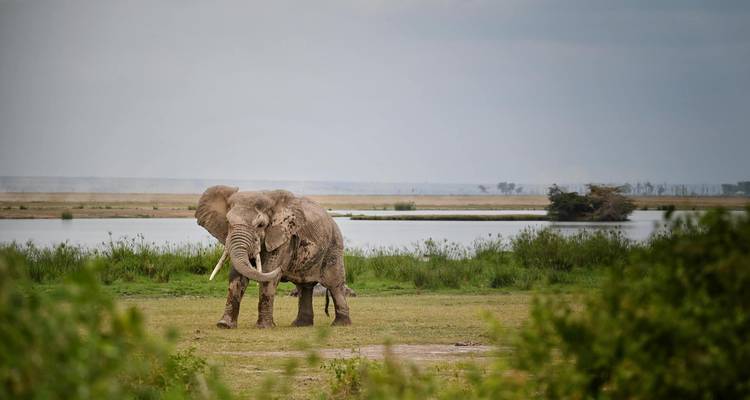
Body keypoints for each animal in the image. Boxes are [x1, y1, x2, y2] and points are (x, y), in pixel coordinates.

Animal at [195, 185, 352, 328]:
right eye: (228, 223)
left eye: (260, 225)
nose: (283, 268)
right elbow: (237, 276)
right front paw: (224, 325)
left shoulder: (284, 237)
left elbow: (268, 272)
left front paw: (263, 327)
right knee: (304, 287)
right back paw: (300, 325)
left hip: (334, 247)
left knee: (334, 285)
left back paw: (340, 324)